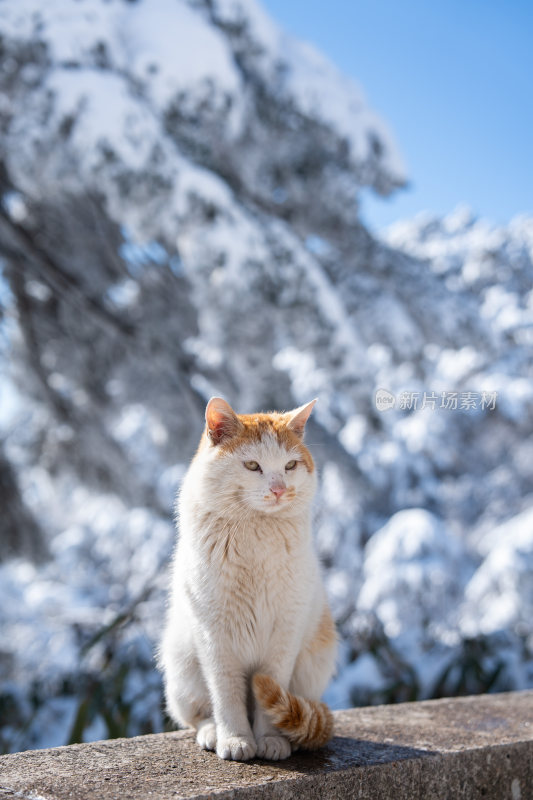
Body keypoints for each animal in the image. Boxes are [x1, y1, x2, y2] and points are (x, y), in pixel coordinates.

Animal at [158, 396, 336, 760]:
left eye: (290, 465)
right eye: (253, 466)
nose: (279, 490)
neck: (256, 533)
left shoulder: (284, 634)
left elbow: (271, 693)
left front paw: (270, 740)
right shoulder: (215, 640)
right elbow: (227, 696)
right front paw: (235, 739)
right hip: (183, 666)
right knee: (197, 715)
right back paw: (212, 733)